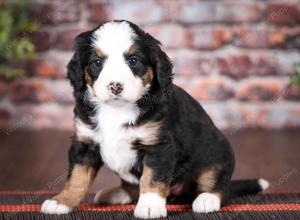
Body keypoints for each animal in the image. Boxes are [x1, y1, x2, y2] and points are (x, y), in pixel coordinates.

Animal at [40, 20, 270, 218]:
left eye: (133, 61)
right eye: (97, 62)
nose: (115, 86)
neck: (116, 110)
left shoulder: (159, 146)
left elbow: (151, 179)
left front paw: (149, 206)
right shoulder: (84, 144)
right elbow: (76, 177)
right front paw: (62, 201)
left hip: (217, 156)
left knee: (221, 187)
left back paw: (207, 199)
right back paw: (115, 193)